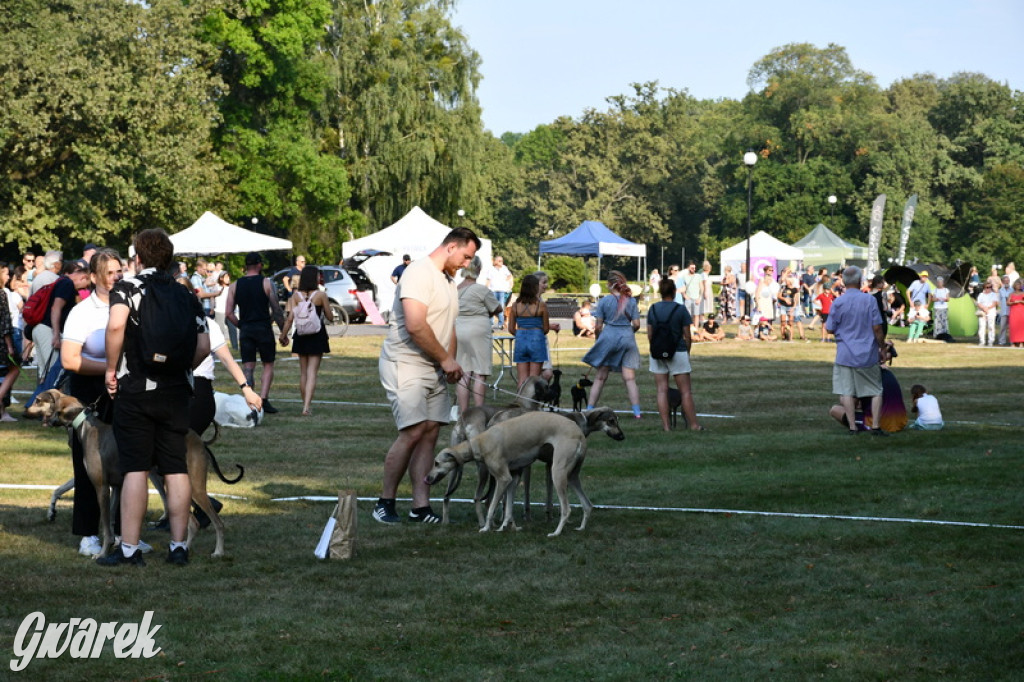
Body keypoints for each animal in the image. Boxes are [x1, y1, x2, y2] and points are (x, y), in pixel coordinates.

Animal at [24, 387, 233, 557]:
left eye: (38, 400)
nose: (25, 413)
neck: (87, 427)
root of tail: (199, 440)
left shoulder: (101, 487)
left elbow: (106, 525)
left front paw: (102, 554)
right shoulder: (117, 486)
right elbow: (111, 523)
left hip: (193, 487)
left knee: (218, 523)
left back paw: (218, 552)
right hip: (176, 485)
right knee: (193, 523)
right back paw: (184, 549)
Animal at [423, 409, 589, 536]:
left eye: (436, 463)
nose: (427, 479)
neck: (479, 442)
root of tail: (579, 434)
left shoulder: (503, 478)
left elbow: (491, 508)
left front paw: (486, 528)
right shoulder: (513, 479)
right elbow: (508, 508)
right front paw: (506, 528)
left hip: (557, 472)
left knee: (567, 509)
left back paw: (556, 533)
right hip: (572, 476)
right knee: (587, 505)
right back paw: (581, 528)